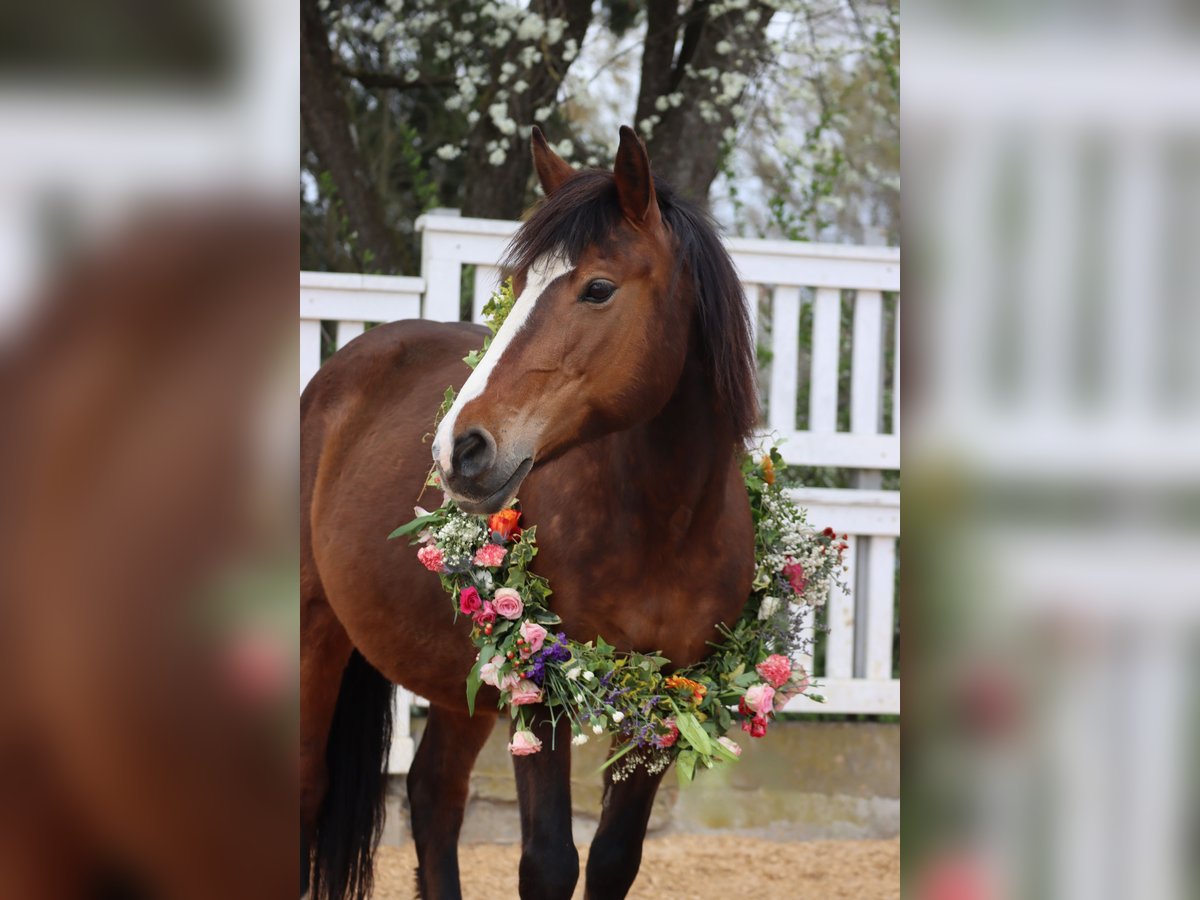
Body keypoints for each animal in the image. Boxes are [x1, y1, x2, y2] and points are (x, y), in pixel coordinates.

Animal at [307, 128, 758, 900]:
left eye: (598, 288)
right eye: (517, 287)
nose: (458, 448)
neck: (663, 525)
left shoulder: (667, 700)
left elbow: (612, 860)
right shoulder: (540, 690)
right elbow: (548, 863)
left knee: (432, 796)